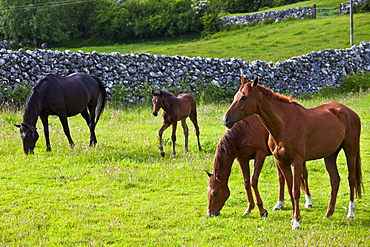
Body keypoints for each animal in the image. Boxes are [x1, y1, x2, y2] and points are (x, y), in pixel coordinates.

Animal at [224, 76, 362, 229]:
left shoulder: (297, 161)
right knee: (335, 180)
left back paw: (350, 212)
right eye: (235, 96)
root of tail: (350, 112)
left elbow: (296, 190)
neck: (284, 124)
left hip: (350, 151)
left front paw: (296, 222)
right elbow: (290, 189)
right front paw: (295, 217)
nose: (226, 119)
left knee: (351, 179)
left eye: (244, 97)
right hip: (330, 156)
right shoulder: (282, 162)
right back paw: (328, 213)